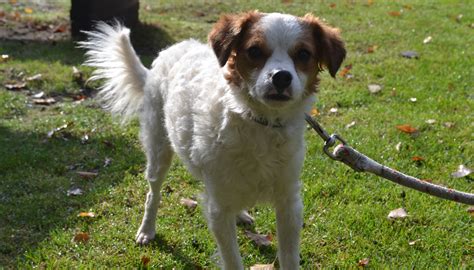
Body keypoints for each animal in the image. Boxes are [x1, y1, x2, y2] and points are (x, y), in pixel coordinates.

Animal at [80, 11, 344, 268]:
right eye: (254, 51)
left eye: (303, 54)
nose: (281, 77)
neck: (259, 122)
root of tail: (168, 53)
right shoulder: (218, 210)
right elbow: (232, 260)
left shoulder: (289, 203)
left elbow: (289, 257)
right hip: (158, 151)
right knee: (152, 194)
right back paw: (147, 229)